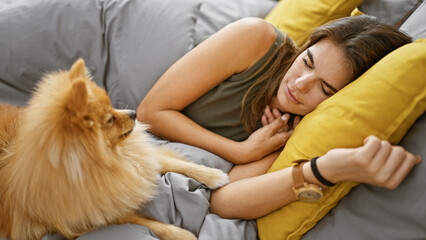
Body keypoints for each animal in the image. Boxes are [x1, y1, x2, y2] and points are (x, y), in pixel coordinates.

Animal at [0, 58, 230, 240]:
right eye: (110, 119)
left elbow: (176, 163)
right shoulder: (95, 214)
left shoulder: (138, 160)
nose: (134, 113)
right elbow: (146, 223)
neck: (110, 160)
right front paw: (182, 234)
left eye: (112, 105)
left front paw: (214, 175)